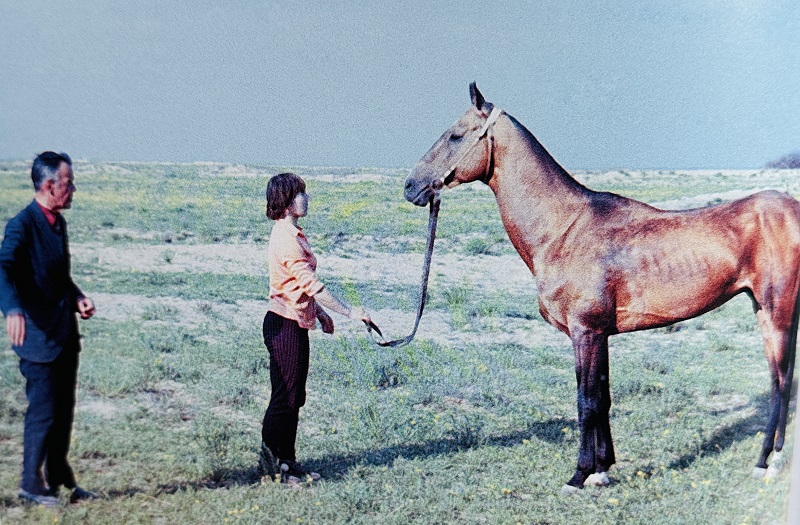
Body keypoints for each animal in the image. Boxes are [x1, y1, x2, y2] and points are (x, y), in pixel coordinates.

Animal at [404, 82, 800, 493]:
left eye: (455, 135)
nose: (411, 186)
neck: (563, 228)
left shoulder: (586, 332)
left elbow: (587, 401)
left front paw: (579, 474)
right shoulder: (601, 334)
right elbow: (604, 398)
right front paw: (602, 469)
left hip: (778, 313)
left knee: (780, 381)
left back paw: (767, 462)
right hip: (764, 310)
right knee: (781, 378)